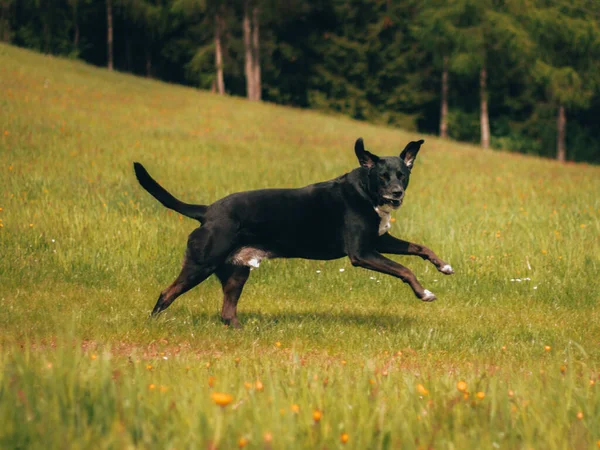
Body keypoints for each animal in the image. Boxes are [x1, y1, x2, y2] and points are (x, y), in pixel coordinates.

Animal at [134, 137, 452, 326]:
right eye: (382, 176)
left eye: (403, 175)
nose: (397, 194)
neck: (366, 192)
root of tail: (207, 211)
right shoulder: (362, 253)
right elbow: (404, 269)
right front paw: (424, 293)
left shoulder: (379, 241)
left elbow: (419, 248)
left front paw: (443, 266)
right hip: (201, 264)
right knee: (167, 293)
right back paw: (153, 323)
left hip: (236, 273)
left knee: (227, 313)